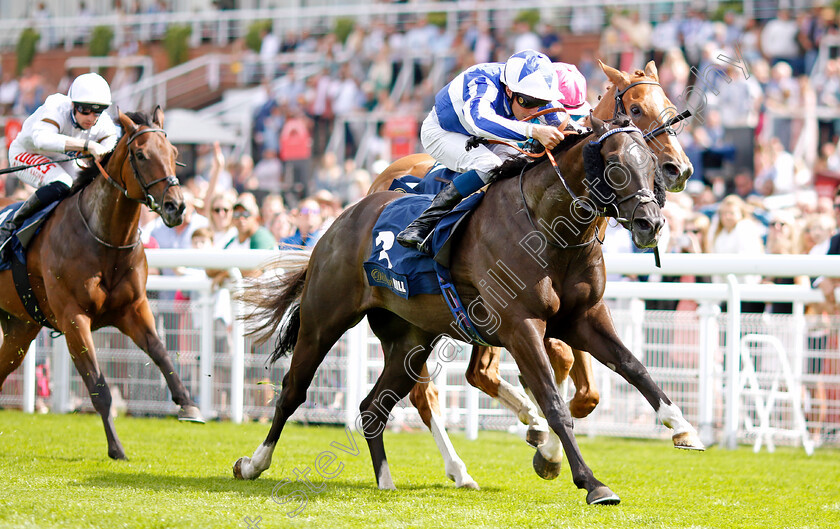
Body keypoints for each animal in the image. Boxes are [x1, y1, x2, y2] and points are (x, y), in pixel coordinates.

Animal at [0, 108, 202, 458]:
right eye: (141, 154)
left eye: (175, 153)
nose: (176, 207)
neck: (105, 238)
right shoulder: (73, 318)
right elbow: (98, 386)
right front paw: (116, 448)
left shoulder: (133, 309)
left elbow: (161, 353)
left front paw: (188, 405)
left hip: (20, 330)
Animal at [236, 115, 704, 504]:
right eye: (614, 163)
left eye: (651, 163)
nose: (650, 223)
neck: (549, 227)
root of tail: (338, 221)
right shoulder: (521, 325)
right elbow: (554, 404)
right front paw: (590, 482)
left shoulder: (583, 319)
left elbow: (634, 367)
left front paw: (683, 427)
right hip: (324, 320)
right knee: (294, 390)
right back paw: (253, 463)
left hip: (410, 340)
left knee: (374, 407)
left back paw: (387, 481)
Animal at [368, 59, 696, 484]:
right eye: (637, 108)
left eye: (670, 106)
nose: (679, 170)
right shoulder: (529, 321)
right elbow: (561, 371)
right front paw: (550, 449)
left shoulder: (576, 315)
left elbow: (594, 388)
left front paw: (546, 440)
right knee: (426, 392)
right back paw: (460, 467)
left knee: (478, 374)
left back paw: (527, 423)